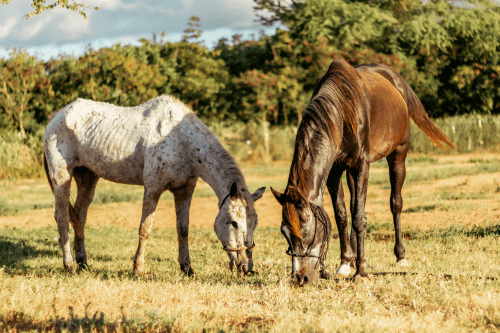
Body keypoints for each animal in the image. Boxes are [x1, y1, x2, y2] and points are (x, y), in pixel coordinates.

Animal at [44, 94, 266, 274]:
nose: (247, 267)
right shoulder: (153, 188)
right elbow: (145, 228)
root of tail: (56, 116)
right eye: (234, 222)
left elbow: (183, 228)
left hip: (88, 177)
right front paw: (138, 268)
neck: (181, 139)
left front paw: (187, 268)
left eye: (254, 223)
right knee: (62, 218)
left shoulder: (185, 190)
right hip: (62, 177)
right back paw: (69, 265)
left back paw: (83, 262)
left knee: (80, 216)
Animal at [272, 59, 456, 282]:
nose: (300, 278)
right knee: (354, 205)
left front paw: (361, 271)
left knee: (395, 203)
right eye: (285, 233)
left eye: (306, 232)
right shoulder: (335, 171)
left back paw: (400, 257)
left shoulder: (361, 165)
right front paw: (345, 263)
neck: (342, 111)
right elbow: (343, 215)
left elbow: (359, 218)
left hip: (398, 154)